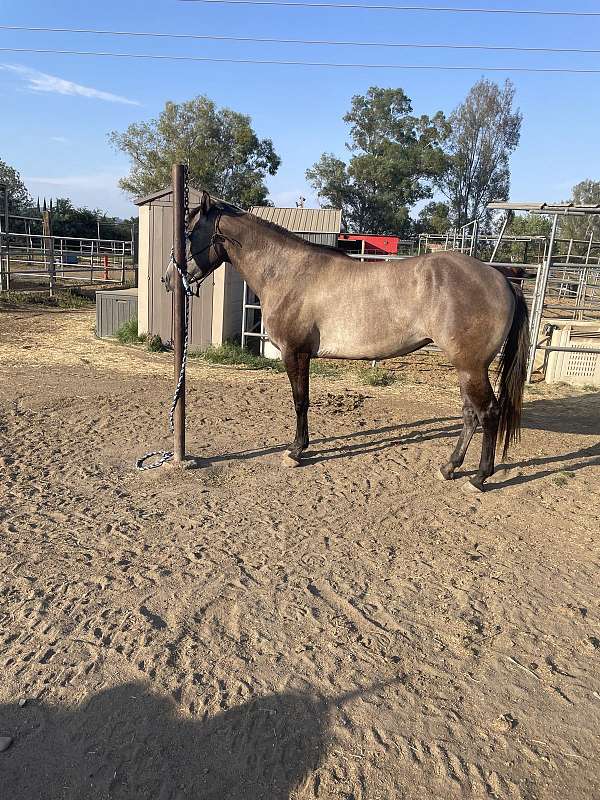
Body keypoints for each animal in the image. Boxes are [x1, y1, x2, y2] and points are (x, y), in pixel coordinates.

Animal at [165, 194, 528, 494]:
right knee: (470, 415)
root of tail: (502, 280)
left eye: (188, 234)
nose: (169, 279)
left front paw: (296, 451)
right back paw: (449, 467)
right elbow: (303, 400)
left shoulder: (294, 353)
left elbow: (300, 401)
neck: (288, 272)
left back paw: (478, 478)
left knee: (488, 413)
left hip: (471, 367)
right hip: (465, 368)